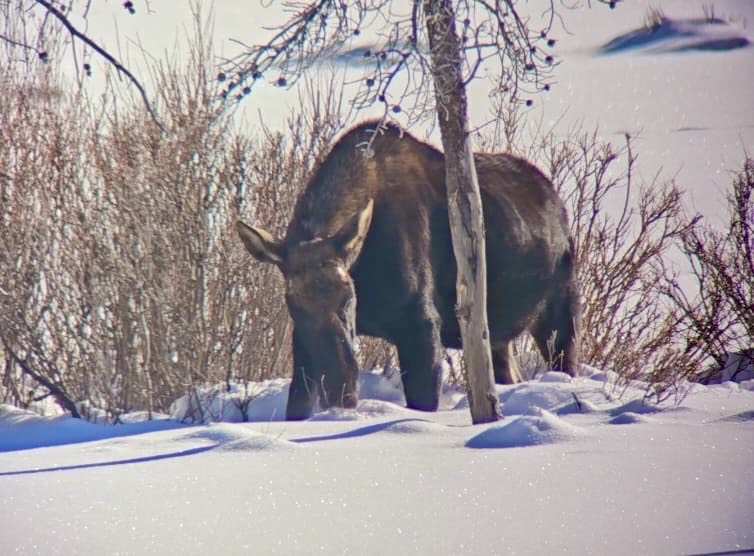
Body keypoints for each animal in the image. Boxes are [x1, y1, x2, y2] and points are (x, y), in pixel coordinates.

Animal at [238, 120, 580, 416]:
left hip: (559, 311)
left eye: (347, 299)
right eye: (294, 305)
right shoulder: (302, 340)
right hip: (496, 336)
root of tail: (558, 204)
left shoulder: (421, 325)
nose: (339, 389)